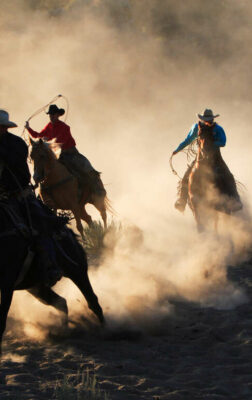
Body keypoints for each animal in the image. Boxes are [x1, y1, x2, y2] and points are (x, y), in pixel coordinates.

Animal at [0, 202, 104, 354]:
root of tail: (67, 231)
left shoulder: (7, 284)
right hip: (36, 287)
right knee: (61, 302)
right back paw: (62, 332)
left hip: (77, 270)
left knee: (92, 300)